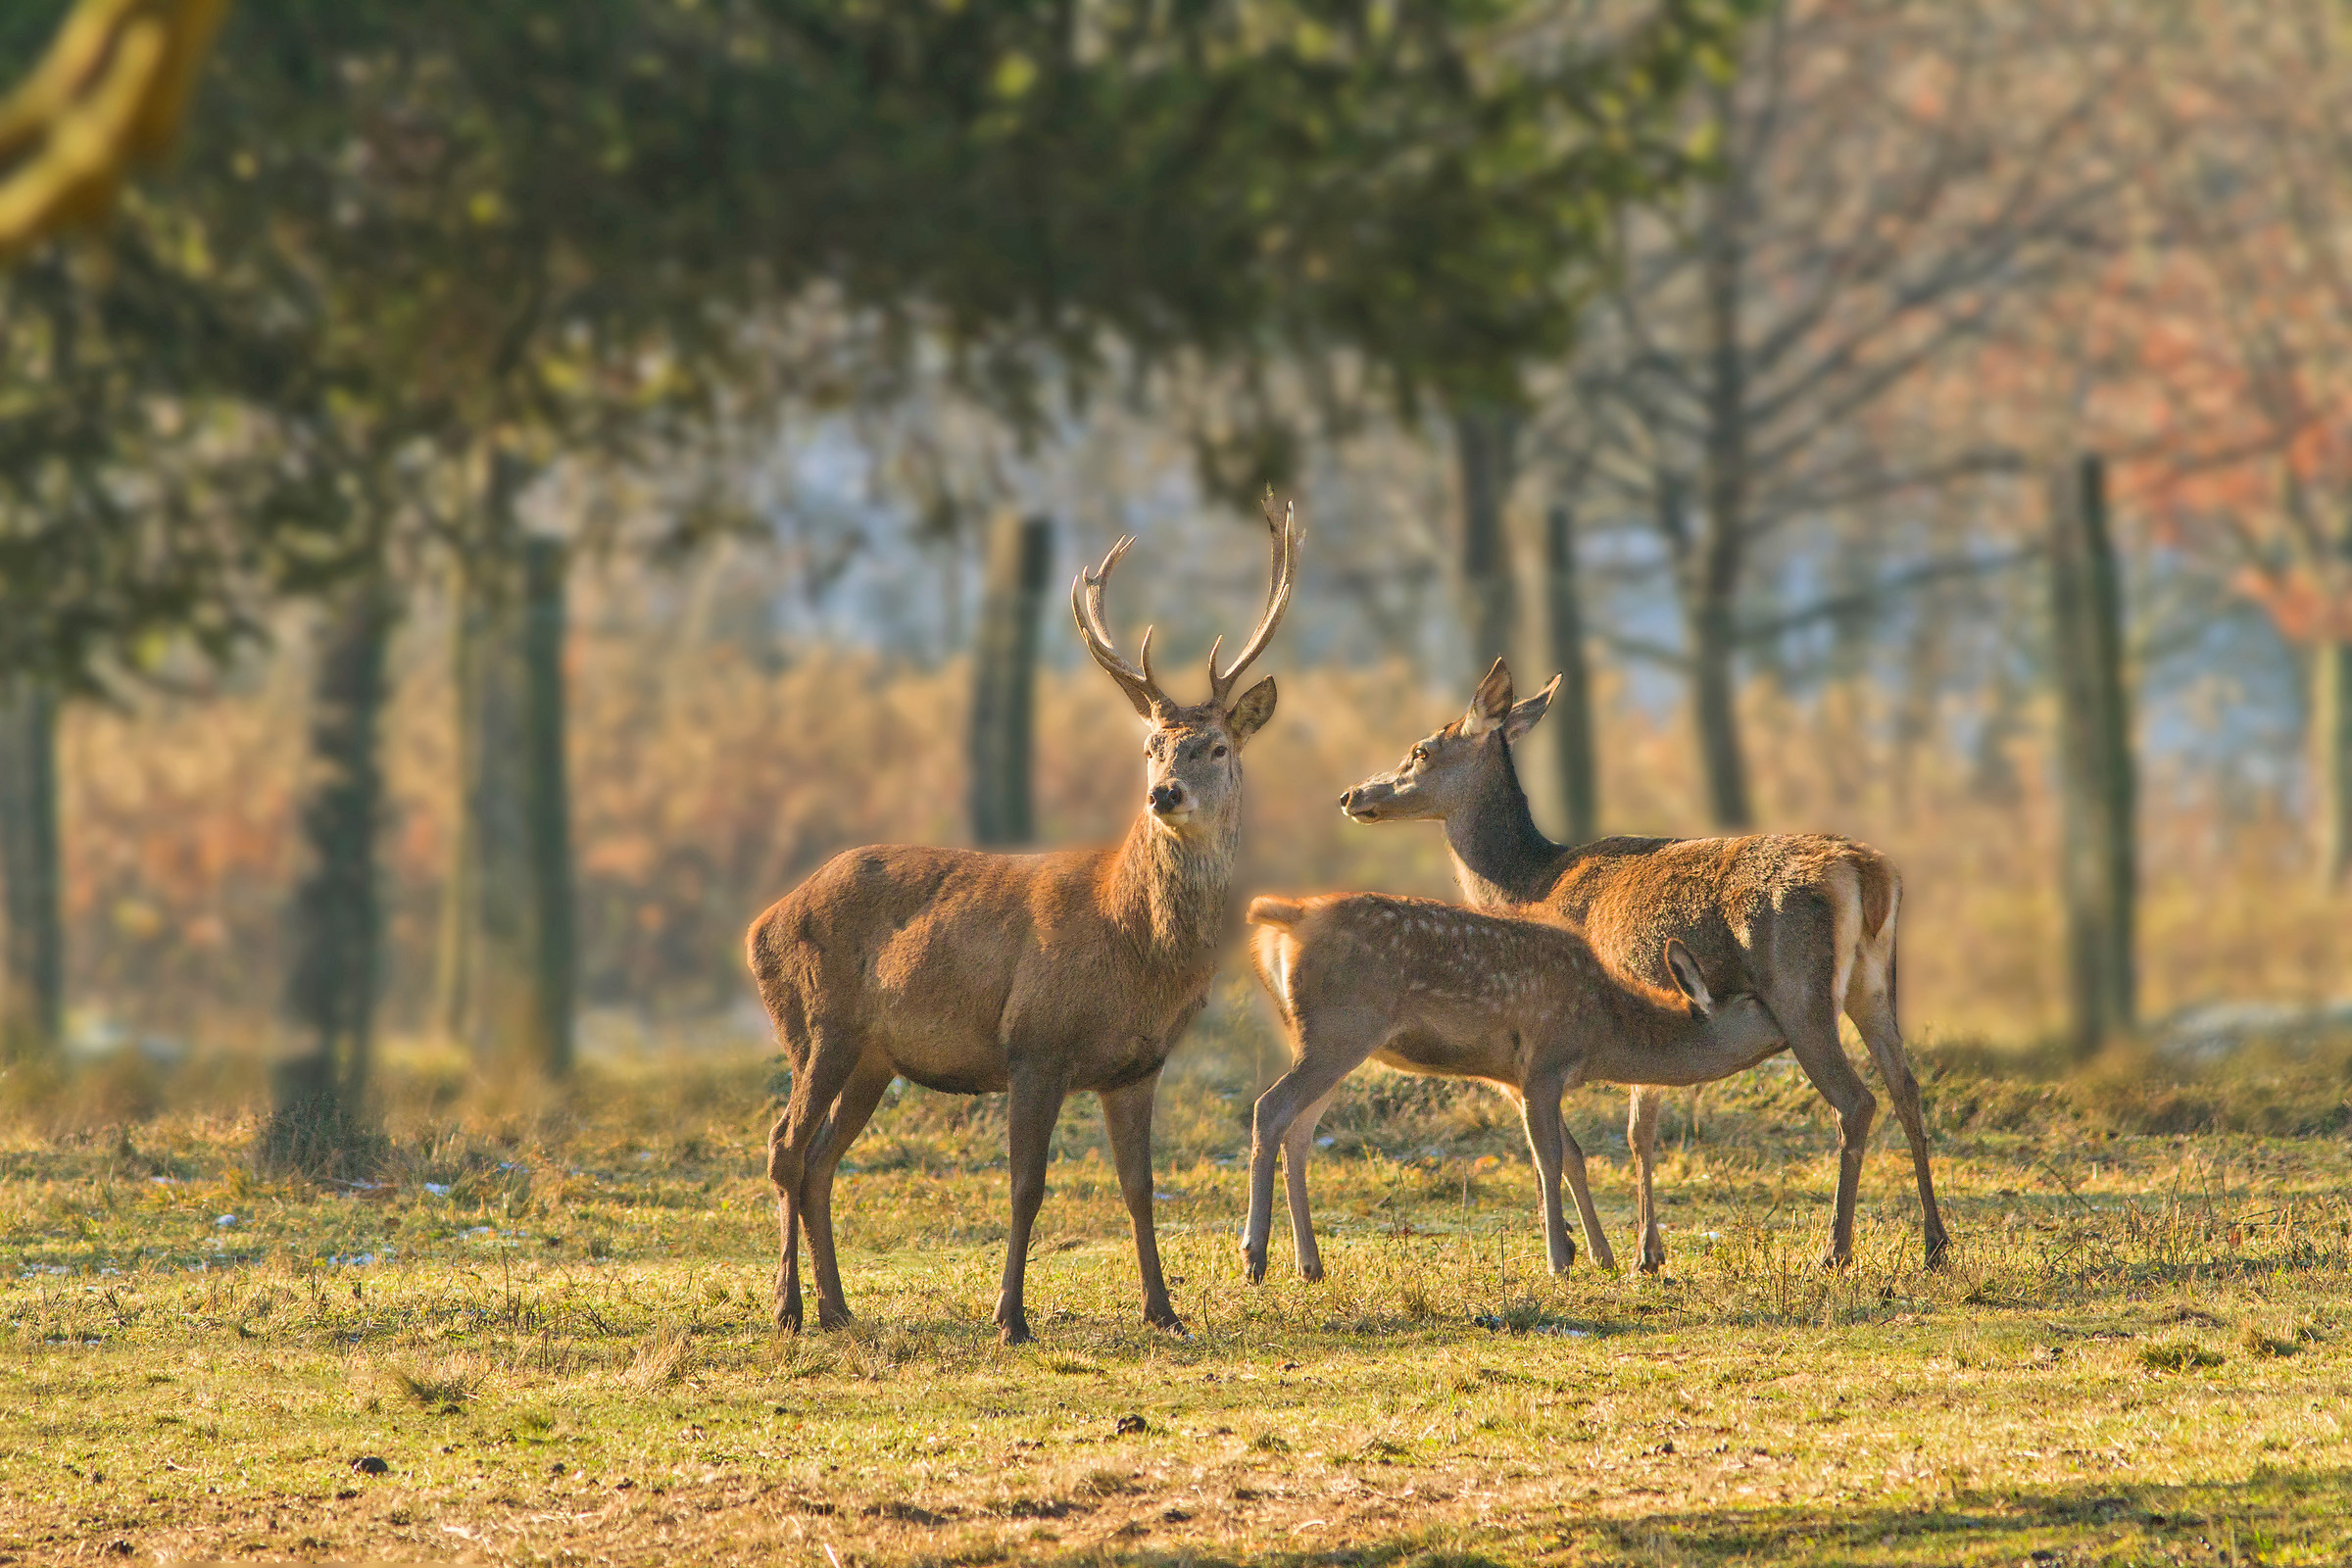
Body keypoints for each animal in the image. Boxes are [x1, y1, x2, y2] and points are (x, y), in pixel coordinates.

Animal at [745, 501, 1298, 1344]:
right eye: (1151, 745)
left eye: (1215, 746)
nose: (1162, 794)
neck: (1134, 945)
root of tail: (760, 926)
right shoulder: (1034, 1042)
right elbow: (1026, 1186)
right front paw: (1009, 1317)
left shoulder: (1138, 1065)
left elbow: (1139, 1186)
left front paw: (1164, 1311)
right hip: (818, 1024)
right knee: (784, 1147)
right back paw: (789, 1307)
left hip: (873, 1057)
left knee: (819, 1160)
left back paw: (839, 1308)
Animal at [1241, 892, 1786, 1285]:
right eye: (1754, 1002)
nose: (1790, 1028)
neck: (1603, 1031)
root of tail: (1289, 920)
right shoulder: (1543, 1063)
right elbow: (1549, 1156)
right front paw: (1560, 1260)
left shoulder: (1517, 1077)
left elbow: (1574, 1156)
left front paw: (1601, 1255)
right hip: (1340, 1029)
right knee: (1270, 1107)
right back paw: (1255, 1256)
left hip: (1324, 1040)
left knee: (1298, 1134)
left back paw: (1310, 1265)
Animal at [1333, 659, 1948, 1276]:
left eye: (1421, 750)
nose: (1351, 794)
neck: (1527, 886)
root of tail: (1867, 871)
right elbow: (1636, 1128)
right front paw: (1638, 1250)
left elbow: (1612, 1136)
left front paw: (1622, 1252)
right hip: (1874, 984)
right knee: (1906, 1087)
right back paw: (1935, 1242)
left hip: (1800, 991)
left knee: (1856, 1102)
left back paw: (1835, 1250)